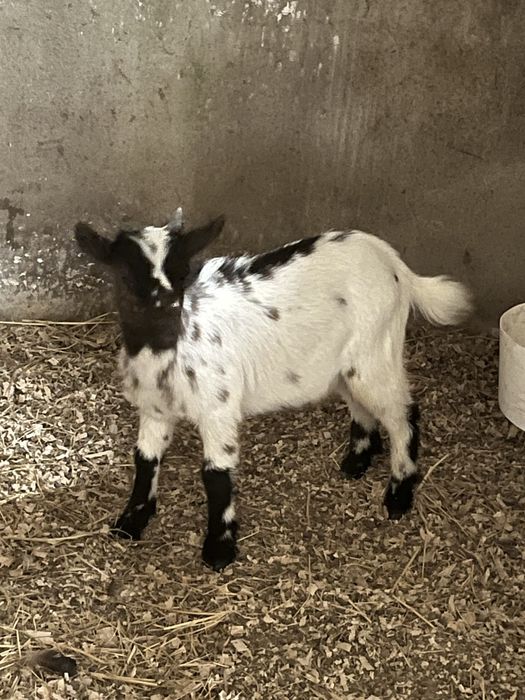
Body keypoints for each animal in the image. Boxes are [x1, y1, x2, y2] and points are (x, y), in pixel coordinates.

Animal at [74, 211, 472, 570]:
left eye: (183, 271)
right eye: (124, 275)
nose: (166, 311)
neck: (166, 348)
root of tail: (393, 263)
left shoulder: (219, 409)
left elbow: (216, 476)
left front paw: (219, 549)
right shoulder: (154, 409)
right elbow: (145, 460)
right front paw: (131, 521)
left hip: (375, 351)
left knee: (403, 414)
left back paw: (399, 494)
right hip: (342, 363)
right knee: (363, 406)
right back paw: (357, 461)